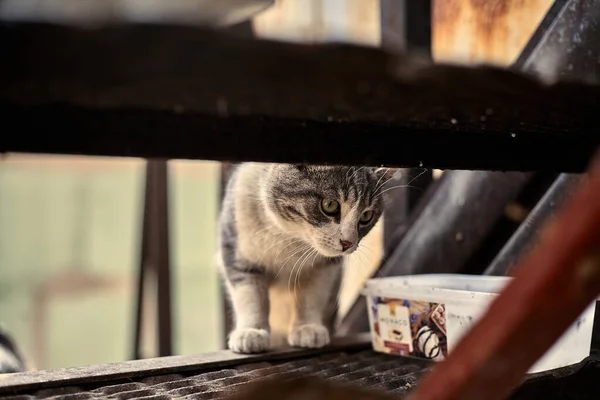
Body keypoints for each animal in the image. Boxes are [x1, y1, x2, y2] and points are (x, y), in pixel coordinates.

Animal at [218, 162, 396, 354]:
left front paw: (308, 328)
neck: (290, 238)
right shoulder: (237, 252)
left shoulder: (325, 266)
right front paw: (251, 331)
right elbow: (251, 296)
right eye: (330, 205)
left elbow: (312, 294)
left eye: (366, 216)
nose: (348, 243)